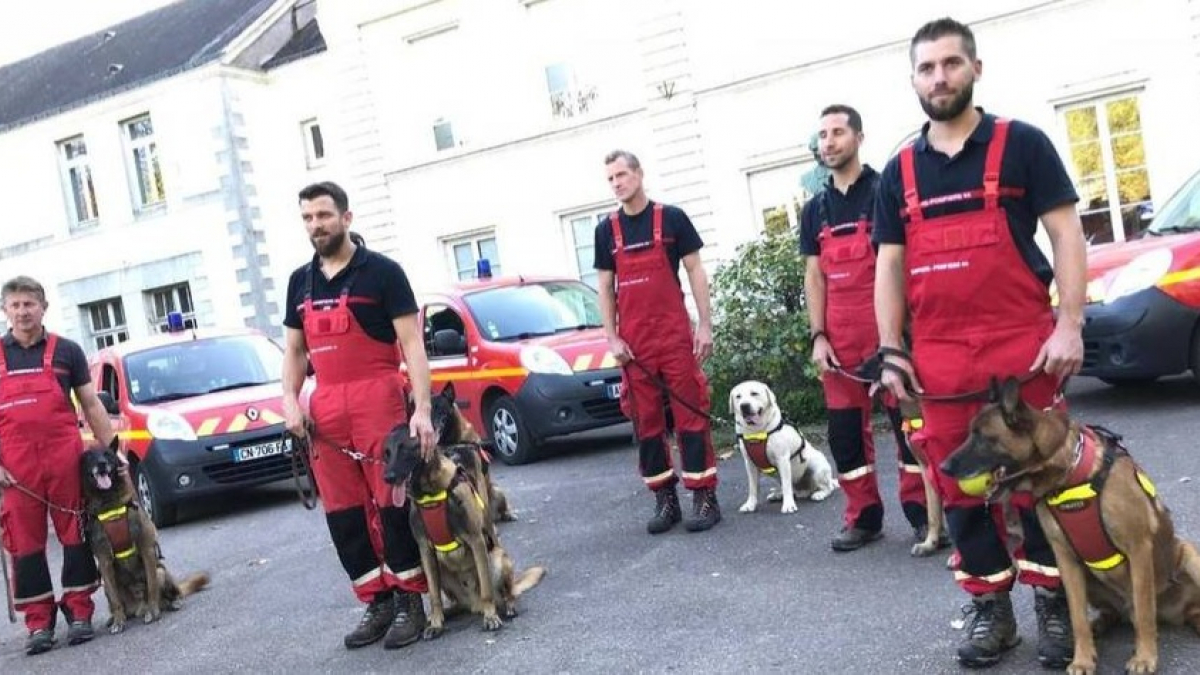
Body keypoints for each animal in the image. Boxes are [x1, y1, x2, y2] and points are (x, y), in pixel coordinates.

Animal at [80, 439, 211, 634]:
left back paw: (170, 603)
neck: (109, 504)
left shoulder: (147, 549)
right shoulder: (104, 561)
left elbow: (151, 586)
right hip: (106, 587)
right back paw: (116, 617)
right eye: (90, 456)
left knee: (172, 592)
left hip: (161, 571)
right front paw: (118, 621)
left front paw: (154, 611)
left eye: (107, 454)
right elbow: (115, 599)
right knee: (116, 600)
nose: (102, 464)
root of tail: (138, 607)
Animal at [724, 379, 840, 509]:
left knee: (827, 487)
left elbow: (786, 485)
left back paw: (819, 494)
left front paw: (788, 505)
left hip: (817, 468)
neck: (757, 432)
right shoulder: (749, 464)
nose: (744, 406)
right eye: (738, 396)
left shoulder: (782, 459)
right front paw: (750, 504)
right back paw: (778, 494)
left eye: (754, 393)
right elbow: (753, 487)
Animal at [940, 374, 1200, 667]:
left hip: (1191, 554)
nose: (943, 468)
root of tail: (1174, 612)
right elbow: (1076, 617)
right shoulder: (1066, 561)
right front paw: (1082, 660)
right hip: (1093, 581)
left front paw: (1144, 658)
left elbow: (1145, 613)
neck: (1068, 474)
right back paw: (1099, 625)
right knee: (1115, 613)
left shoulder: (1139, 549)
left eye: (983, 438)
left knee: (1169, 611)